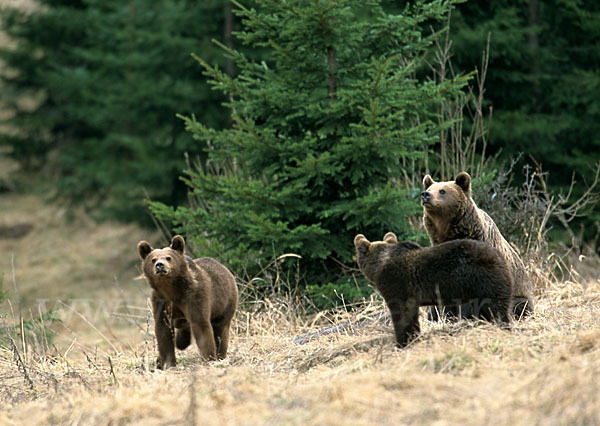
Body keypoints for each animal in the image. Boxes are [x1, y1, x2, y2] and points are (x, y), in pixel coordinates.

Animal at [137, 235, 238, 368]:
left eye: (168, 257)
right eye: (153, 259)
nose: (160, 265)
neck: (172, 290)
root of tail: (225, 268)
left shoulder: (194, 297)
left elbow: (201, 325)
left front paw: (209, 358)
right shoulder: (161, 301)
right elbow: (163, 330)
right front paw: (167, 362)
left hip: (225, 303)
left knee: (221, 329)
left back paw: (221, 355)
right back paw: (181, 342)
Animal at [354, 233, 512, 346]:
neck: (379, 266)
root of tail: (498, 254)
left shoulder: (397, 285)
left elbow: (402, 313)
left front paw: (402, 341)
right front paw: (414, 336)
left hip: (485, 280)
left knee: (496, 307)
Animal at [422, 171, 536, 318]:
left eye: (442, 191)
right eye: (430, 188)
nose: (425, 194)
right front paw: (441, 315)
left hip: (519, 295)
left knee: (518, 305)